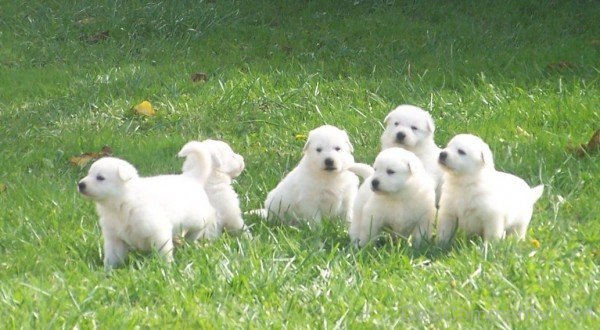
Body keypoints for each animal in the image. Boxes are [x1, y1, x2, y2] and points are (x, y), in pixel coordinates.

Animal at [78, 156, 218, 270]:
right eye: (88, 174)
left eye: (100, 178)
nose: (80, 184)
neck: (123, 204)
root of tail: (192, 178)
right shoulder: (114, 237)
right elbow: (113, 256)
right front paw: (108, 271)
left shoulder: (158, 231)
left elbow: (164, 251)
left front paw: (166, 267)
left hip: (198, 218)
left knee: (199, 227)